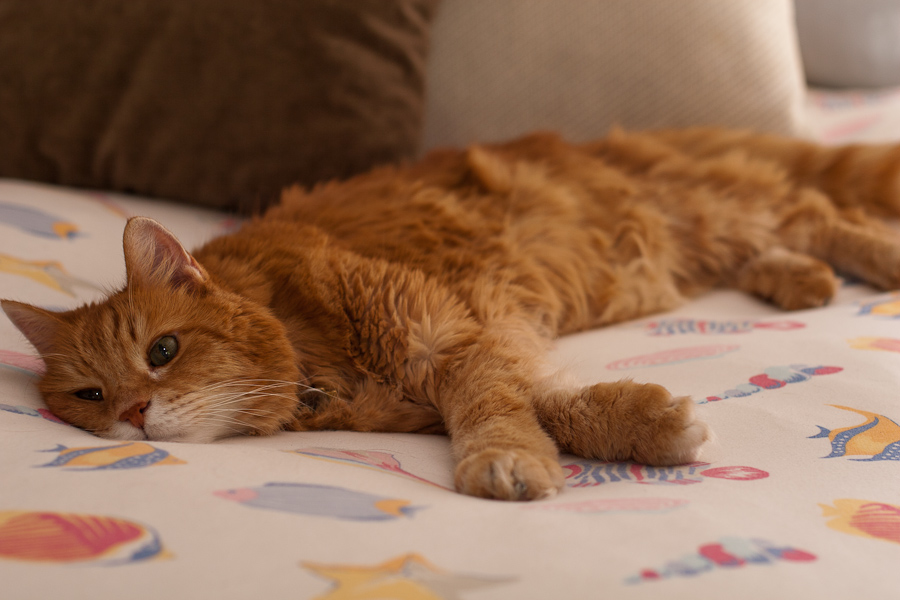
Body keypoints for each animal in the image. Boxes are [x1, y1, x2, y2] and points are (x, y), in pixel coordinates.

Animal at [1, 129, 900, 500]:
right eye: (89, 397)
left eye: (163, 351)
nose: (134, 414)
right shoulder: (464, 361)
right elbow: (547, 408)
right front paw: (646, 425)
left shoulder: (453, 340)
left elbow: (499, 413)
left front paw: (508, 465)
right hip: (706, 235)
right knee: (791, 230)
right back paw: (802, 281)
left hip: (713, 212)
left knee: (816, 211)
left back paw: (874, 260)